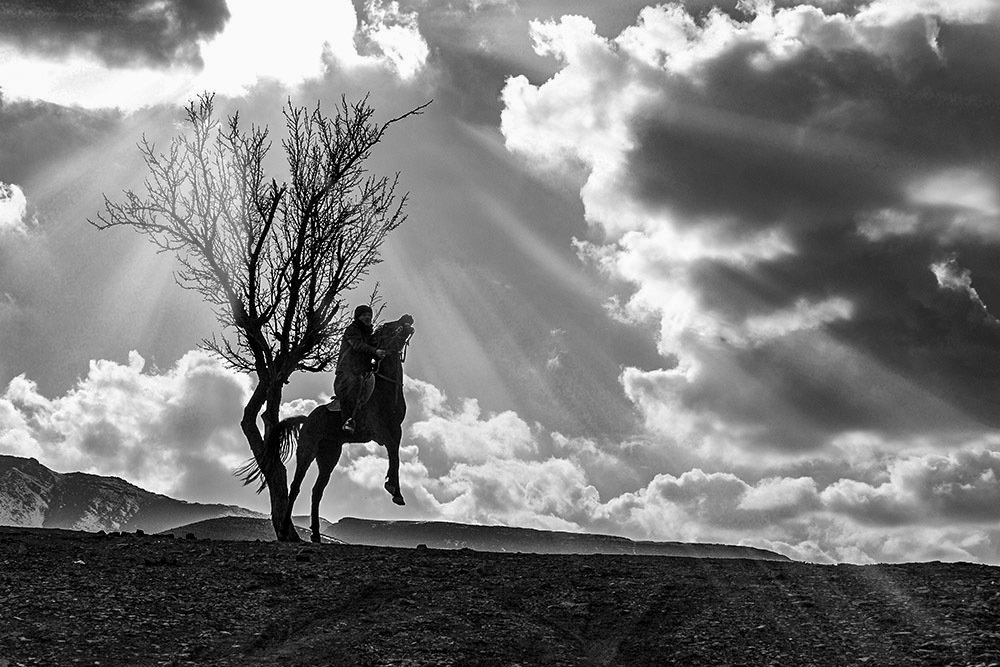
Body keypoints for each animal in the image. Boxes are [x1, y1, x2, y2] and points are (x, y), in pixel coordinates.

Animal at [276, 314, 414, 542]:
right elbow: (393, 452)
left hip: (329, 456)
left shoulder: (396, 430)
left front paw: (396, 491)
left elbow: (396, 456)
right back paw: (285, 529)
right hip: (307, 451)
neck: (385, 391)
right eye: (387, 326)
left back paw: (316, 534)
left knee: (317, 491)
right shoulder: (380, 431)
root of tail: (307, 419)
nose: (407, 318)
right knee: (295, 487)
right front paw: (392, 487)